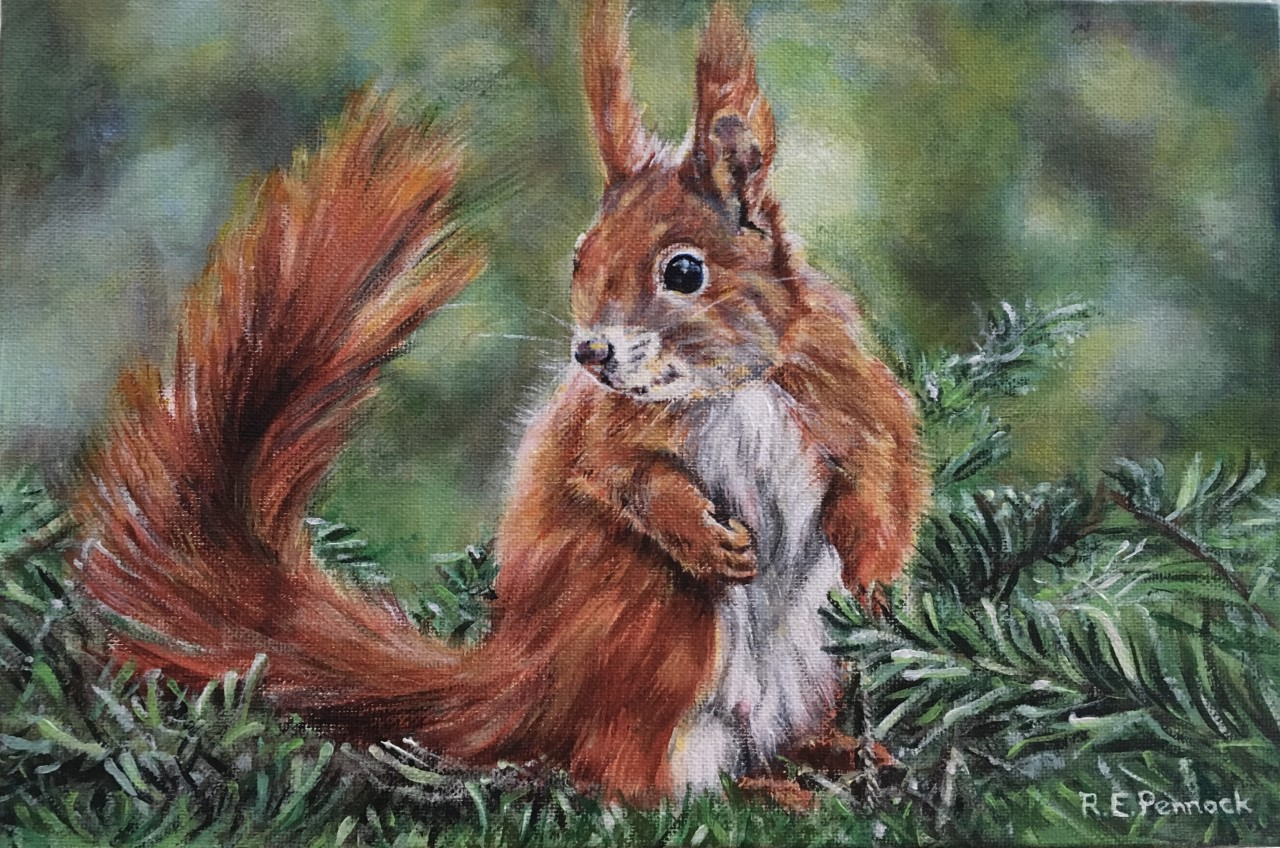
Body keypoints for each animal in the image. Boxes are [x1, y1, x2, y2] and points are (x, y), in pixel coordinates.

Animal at [73, 1, 928, 805]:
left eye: (684, 271)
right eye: (581, 257)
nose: (592, 354)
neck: (730, 387)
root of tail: (521, 691)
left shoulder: (851, 395)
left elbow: (889, 478)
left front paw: (871, 575)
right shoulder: (602, 424)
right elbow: (613, 473)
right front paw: (698, 531)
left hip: (812, 672)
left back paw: (838, 758)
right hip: (659, 624)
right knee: (636, 781)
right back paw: (767, 791)